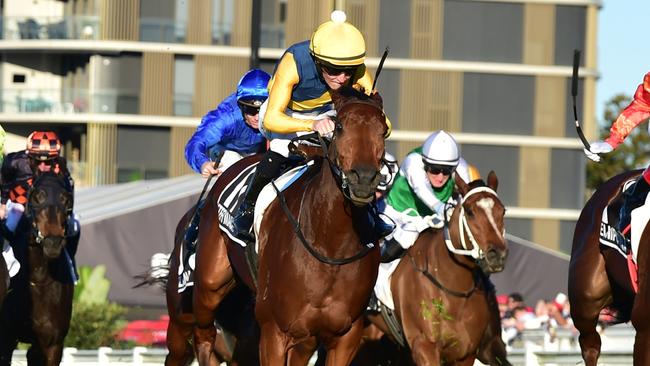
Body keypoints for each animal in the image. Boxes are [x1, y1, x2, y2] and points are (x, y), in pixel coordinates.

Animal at [0, 172, 74, 366]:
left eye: (65, 198)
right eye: (37, 195)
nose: (53, 243)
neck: (38, 279)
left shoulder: (53, 344)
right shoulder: (6, 340)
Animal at [252, 88, 384, 366]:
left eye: (383, 130)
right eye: (340, 126)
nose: (364, 179)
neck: (330, 244)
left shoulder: (345, 337)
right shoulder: (273, 332)